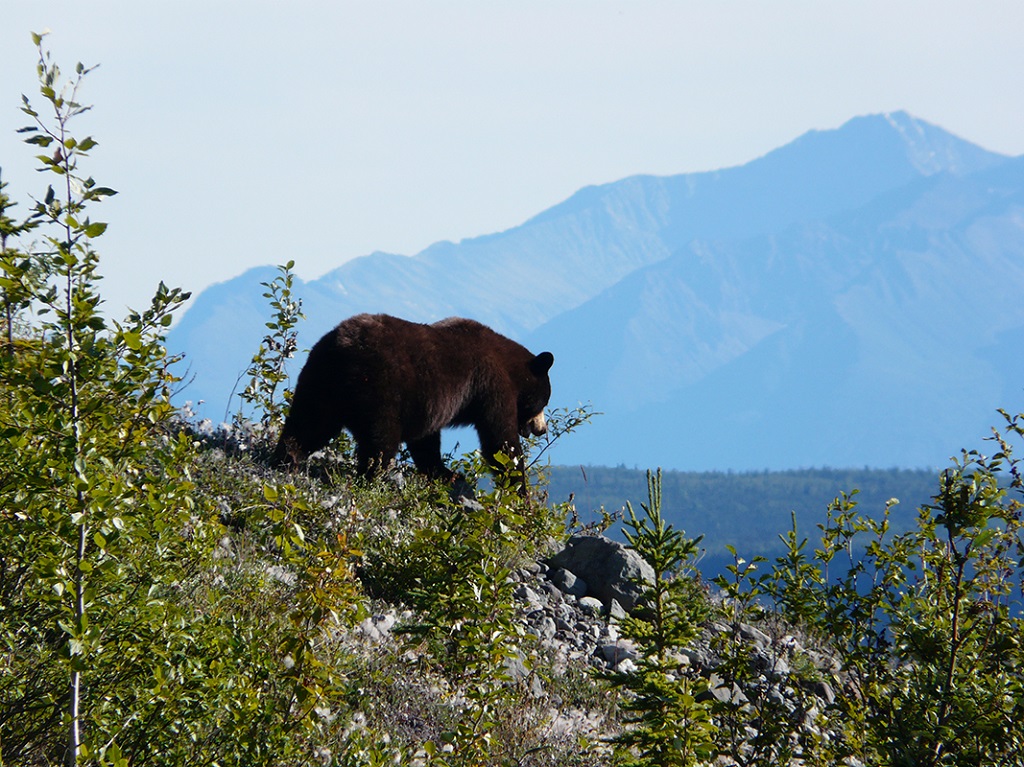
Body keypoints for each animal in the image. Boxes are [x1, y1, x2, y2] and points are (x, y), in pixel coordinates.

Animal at [270, 309, 552, 485]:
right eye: (544, 401)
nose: (542, 429)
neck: (511, 368)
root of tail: (340, 349)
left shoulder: (429, 403)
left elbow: (426, 441)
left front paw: (446, 473)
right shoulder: (492, 386)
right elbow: (500, 442)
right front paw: (519, 492)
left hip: (318, 383)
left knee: (306, 425)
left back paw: (284, 462)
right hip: (378, 391)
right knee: (380, 444)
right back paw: (369, 480)